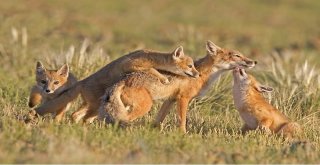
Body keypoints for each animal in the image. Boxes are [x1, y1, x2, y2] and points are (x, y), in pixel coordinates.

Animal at [35, 45, 200, 123]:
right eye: (190, 66)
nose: (198, 74)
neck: (151, 55)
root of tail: (83, 81)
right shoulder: (132, 64)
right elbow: (151, 69)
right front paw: (163, 78)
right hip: (94, 107)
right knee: (82, 117)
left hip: (91, 106)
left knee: (75, 115)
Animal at [99, 41, 256, 133]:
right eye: (237, 56)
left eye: (242, 55)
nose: (254, 61)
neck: (202, 75)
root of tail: (122, 81)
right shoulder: (183, 98)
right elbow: (182, 120)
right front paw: (183, 135)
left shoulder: (171, 99)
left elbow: (158, 120)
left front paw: (154, 131)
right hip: (145, 106)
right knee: (123, 120)